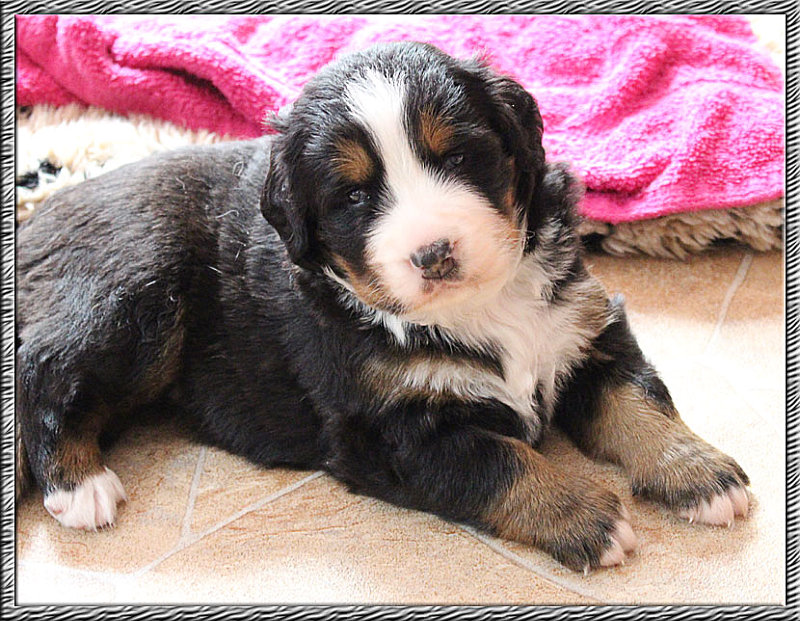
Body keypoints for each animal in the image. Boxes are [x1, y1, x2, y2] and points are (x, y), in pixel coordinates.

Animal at [15, 41, 750, 573]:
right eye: (354, 196)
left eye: (459, 157)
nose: (434, 253)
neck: (479, 308)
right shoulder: (389, 428)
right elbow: (500, 464)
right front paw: (589, 518)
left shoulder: (584, 327)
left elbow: (638, 402)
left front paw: (700, 472)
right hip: (133, 295)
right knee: (45, 370)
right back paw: (79, 483)